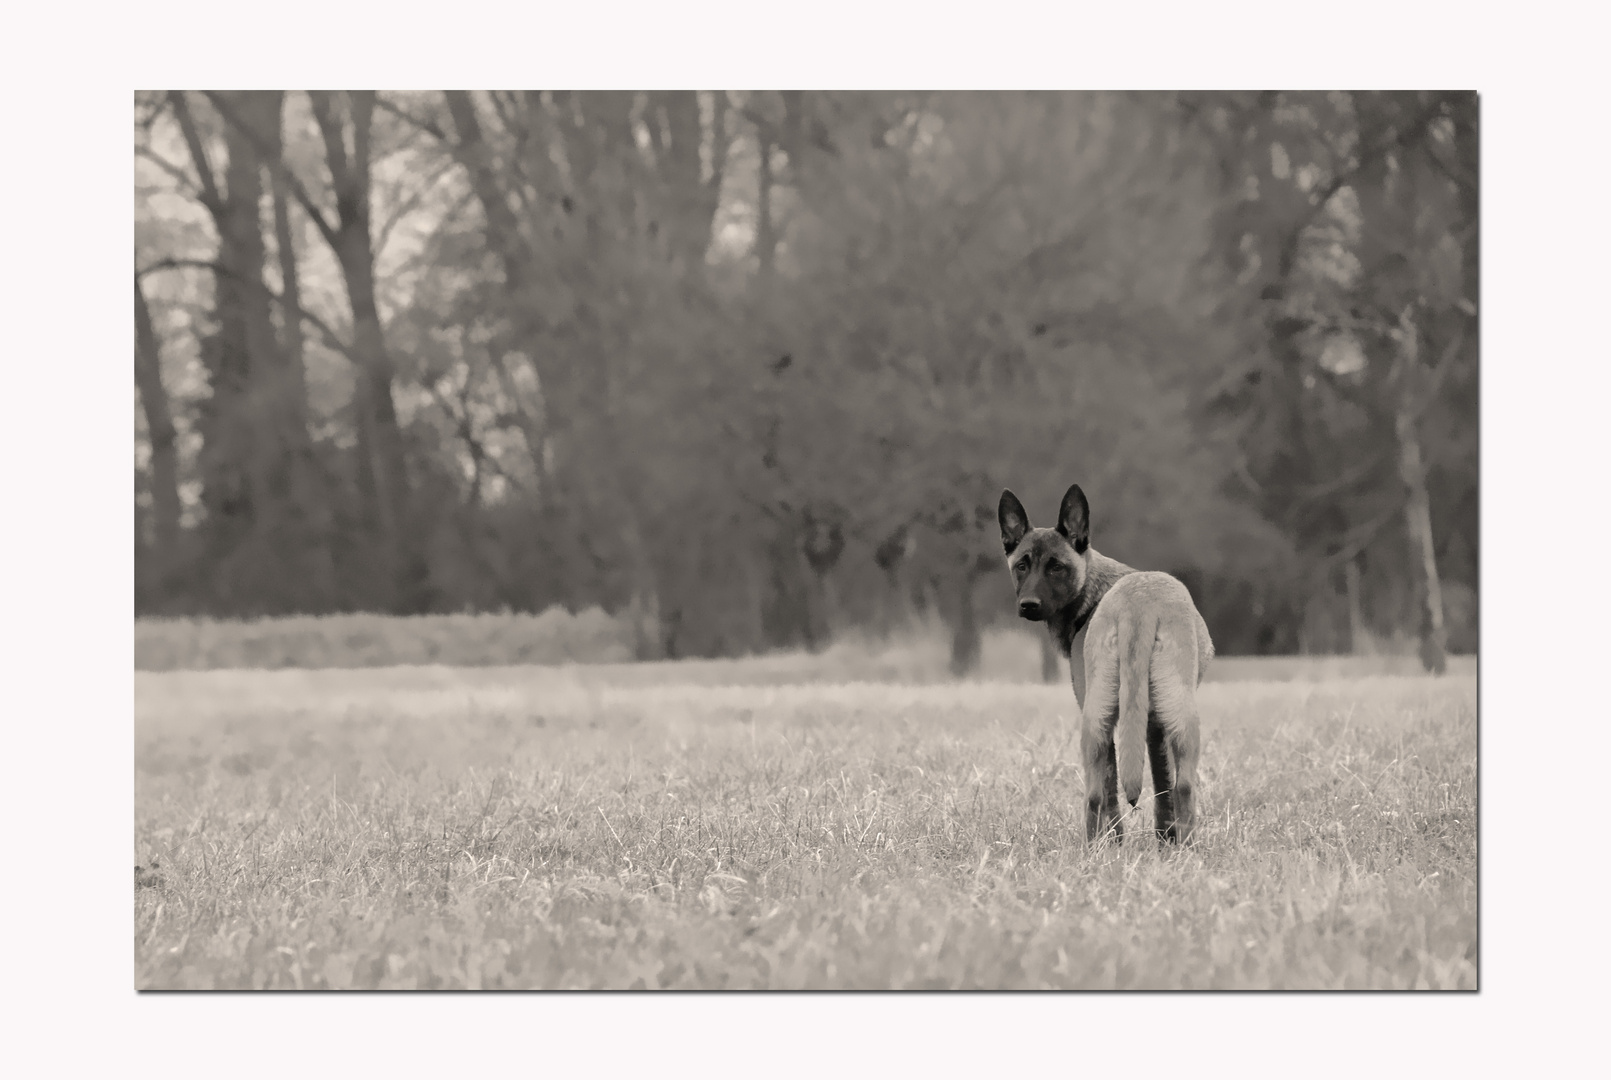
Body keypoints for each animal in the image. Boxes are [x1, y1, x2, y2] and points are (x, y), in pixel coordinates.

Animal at [998, 486, 1211, 851]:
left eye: (1057, 567)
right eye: (1022, 566)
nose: (1029, 606)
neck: (1093, 591)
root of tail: (1138, 607)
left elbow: (1120, 788)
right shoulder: (1153, 724)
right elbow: (1162, 784)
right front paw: (1164, 840)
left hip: (1096, 721)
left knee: (1096, 794)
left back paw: (1096, 848)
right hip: (1180, 718)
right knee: (1182, 785)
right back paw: (1185, 848)